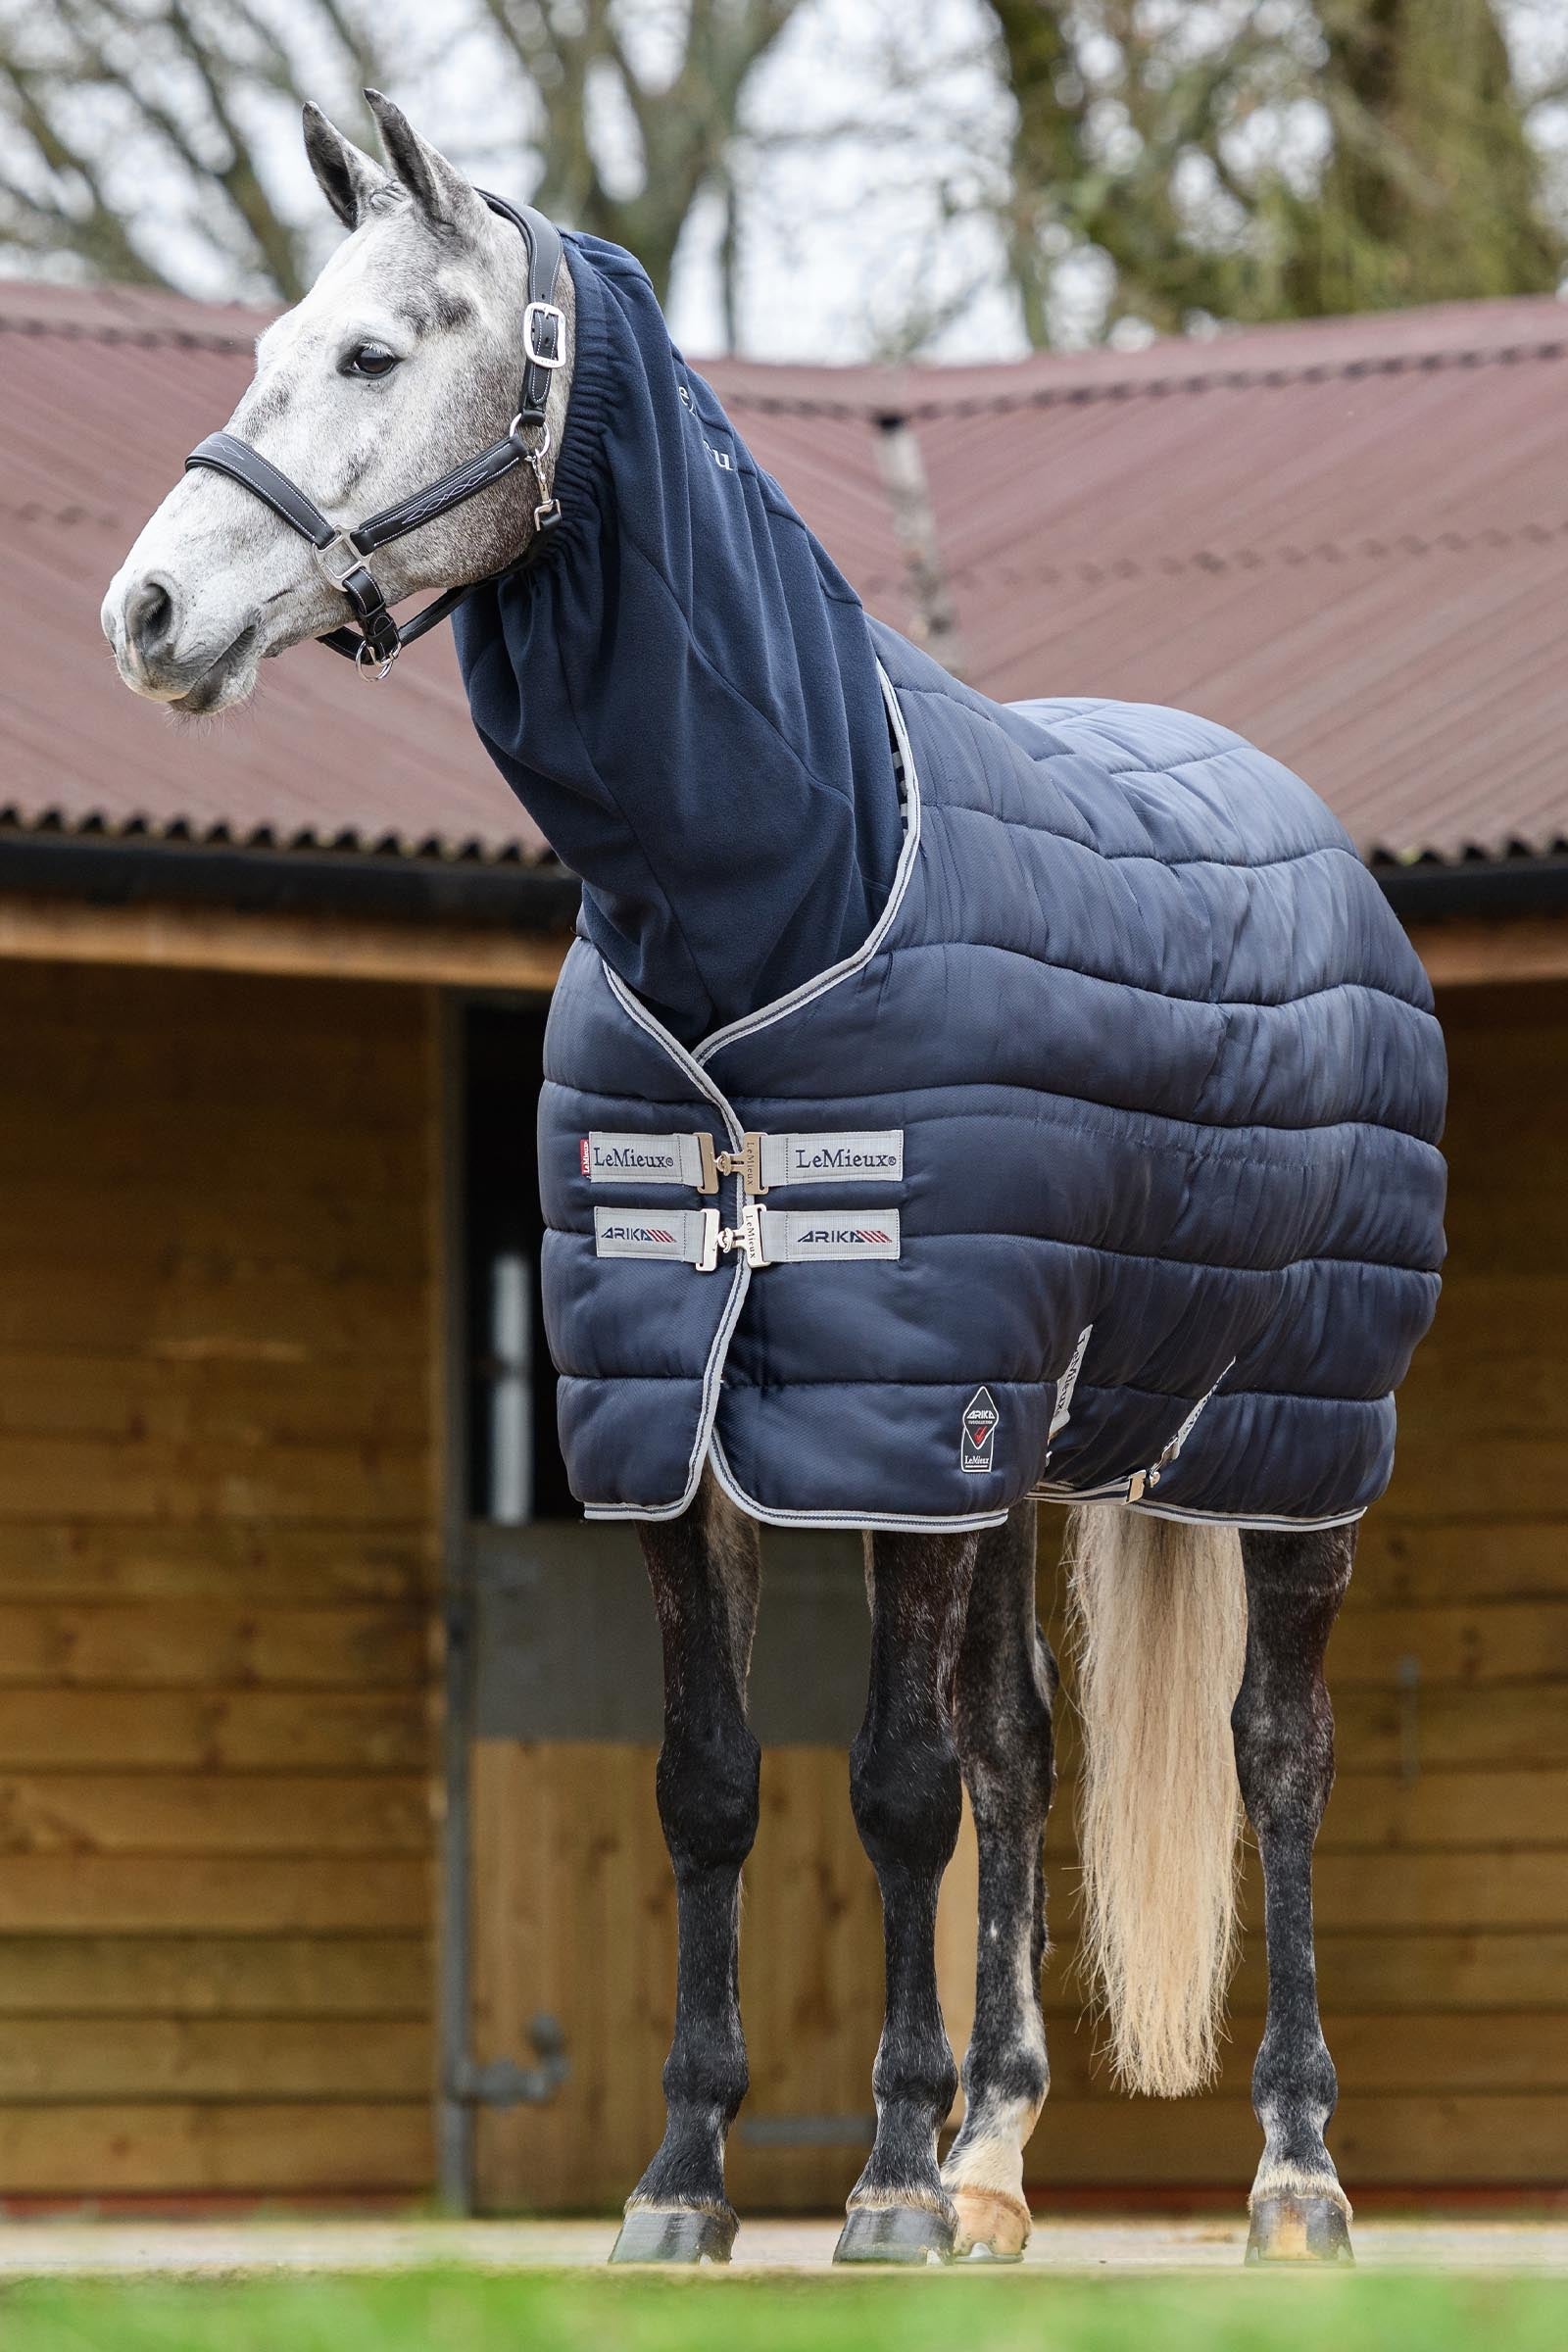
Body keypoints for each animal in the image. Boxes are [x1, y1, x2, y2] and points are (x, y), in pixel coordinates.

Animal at [102, 93, 1446, 2268]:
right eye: (266, 351)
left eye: (375, 354)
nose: (143, 618)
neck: (771, 907)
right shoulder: (693, 1425)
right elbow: (717, 1785)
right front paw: (689, 2184)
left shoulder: (903, 1413)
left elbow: (890, 1783)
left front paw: (877, 2187)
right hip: (1028, 1455)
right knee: (1025, 1751)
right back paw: (997, 2166)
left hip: (1293, 1445)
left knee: (1279, 1756)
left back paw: (1290, 2179)